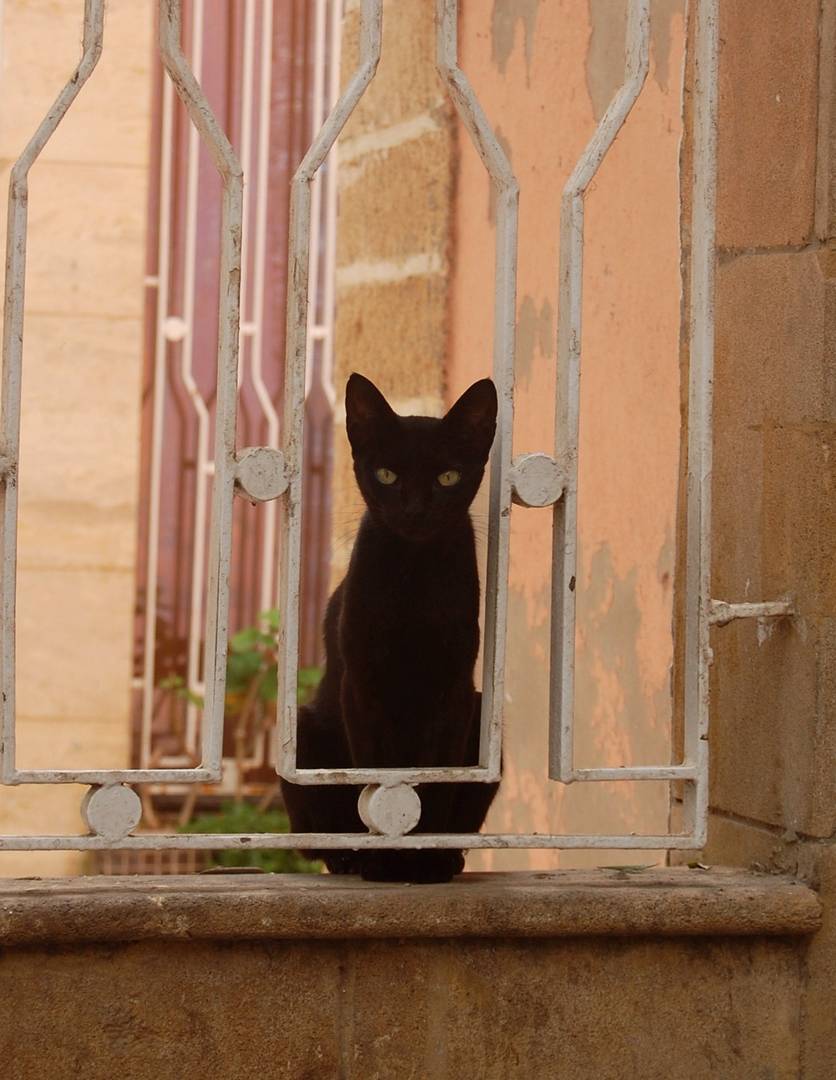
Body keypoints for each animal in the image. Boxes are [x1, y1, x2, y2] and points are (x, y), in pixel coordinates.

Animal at [280, 375, 501, 881]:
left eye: (447, 477)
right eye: (386, 475)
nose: (416, 511)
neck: (413, 579)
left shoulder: (453, 694)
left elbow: (433, 786)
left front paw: (424, 861)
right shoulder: (363, 688)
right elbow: (380, 784)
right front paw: (385, 861)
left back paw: (450, 858)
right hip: (304, 730)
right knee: (318, 839)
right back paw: (349, 858)